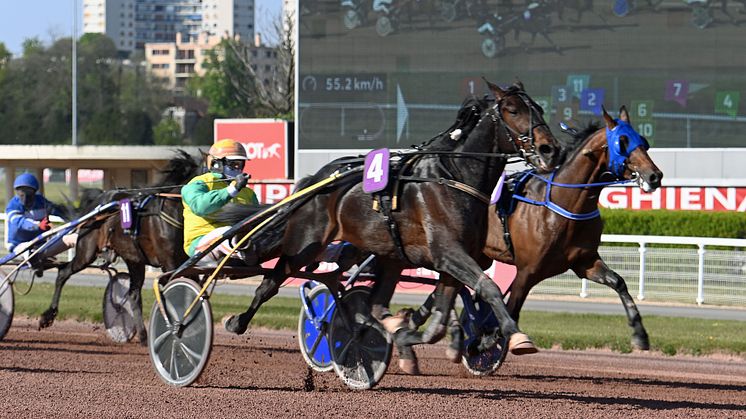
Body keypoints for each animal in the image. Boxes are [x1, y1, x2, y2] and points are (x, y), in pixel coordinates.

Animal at [38, 152, 198, 344]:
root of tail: (98, 201)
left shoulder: (187, 263)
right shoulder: (170, 264)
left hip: (134, 259)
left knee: (133, 295)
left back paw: (143, 335)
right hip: (87, 251)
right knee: (63, 273)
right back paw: (48, 316)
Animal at [214, 80, 560, 362]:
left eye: (539, 108)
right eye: (513, 110)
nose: (550, 149)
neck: (452, 177)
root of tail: (318, 178)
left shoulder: (457, 259)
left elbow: (440, 317)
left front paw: (418, 335)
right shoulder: (447, 252)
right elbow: (488, 287)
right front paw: (516, 335)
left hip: (387, 254)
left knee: (374, 303)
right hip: (304, 243)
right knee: (270, 282)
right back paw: (237, 320)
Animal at [396, 106, 664, 372]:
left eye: (644, 142)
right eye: (622, 142)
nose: (655, 176)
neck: (562, 202)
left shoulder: (584, 263)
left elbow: (619, 282)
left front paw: (640, 335)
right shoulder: (528, 270)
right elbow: (511, 309)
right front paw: (483, 342)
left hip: (476, 256)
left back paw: (408, 323)